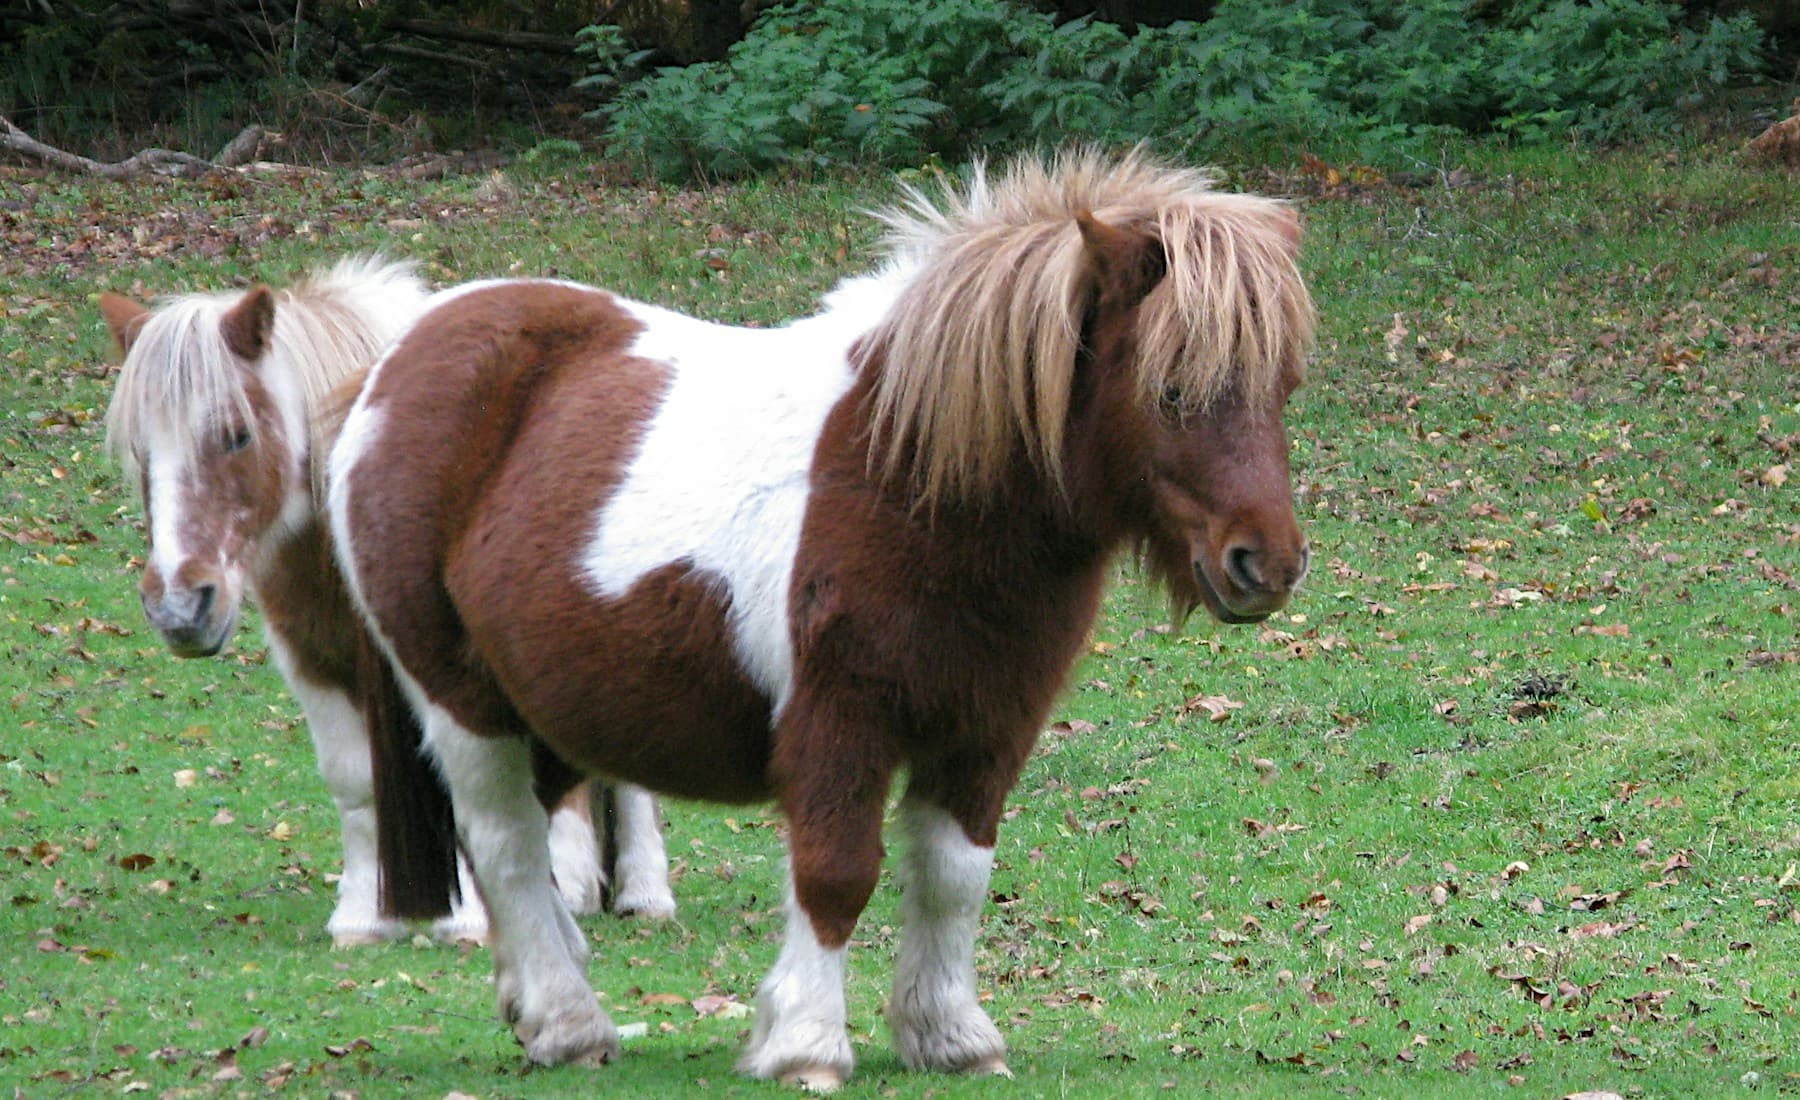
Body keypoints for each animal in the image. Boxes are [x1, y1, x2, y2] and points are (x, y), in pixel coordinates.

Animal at [99, 258, 676, 945]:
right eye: (139, 451)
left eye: (237, 436)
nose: (179, 607)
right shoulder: (311, 655)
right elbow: (355, 778)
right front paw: (364, 915)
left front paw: (468, 916)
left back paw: (639, 891)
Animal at [329, 148, 1314, 1088]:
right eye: (1172, 390)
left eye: (1283, 388)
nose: (1265, 565)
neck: (908, 477)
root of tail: (392, 366)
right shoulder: (839, 724)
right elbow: (837, 875)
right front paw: (804, 1044)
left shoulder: (988, 731)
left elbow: (955, 876)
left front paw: (952, 1038)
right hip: (461, 701)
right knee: (503, 843)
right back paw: (570, 1025)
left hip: (552, 712)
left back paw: (541, 1005)